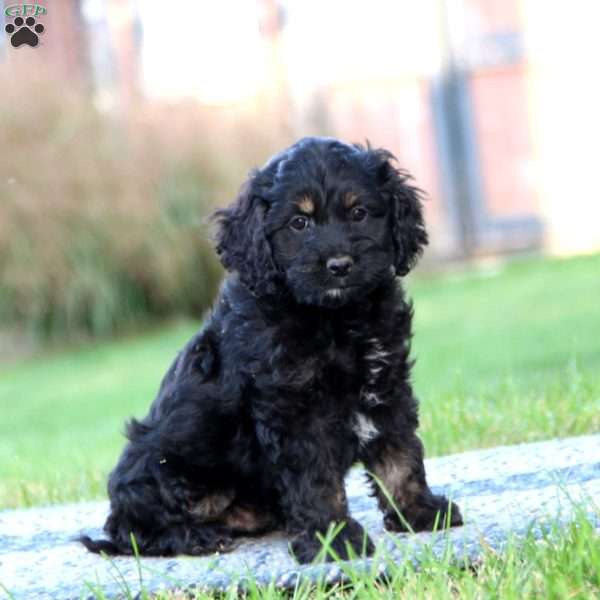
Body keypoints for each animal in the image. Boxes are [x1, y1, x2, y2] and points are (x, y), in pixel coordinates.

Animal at [79, 136, 462, 564]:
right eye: (299, 223)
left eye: (359, 213)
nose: (339, 265)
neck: (334, 318)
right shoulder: (293, 409)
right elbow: (316, 480)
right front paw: (333, 539)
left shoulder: (386, 383)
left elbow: (401, 455)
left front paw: (419, 511)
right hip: (164, 466)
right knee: (130, 528)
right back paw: (197, 537)